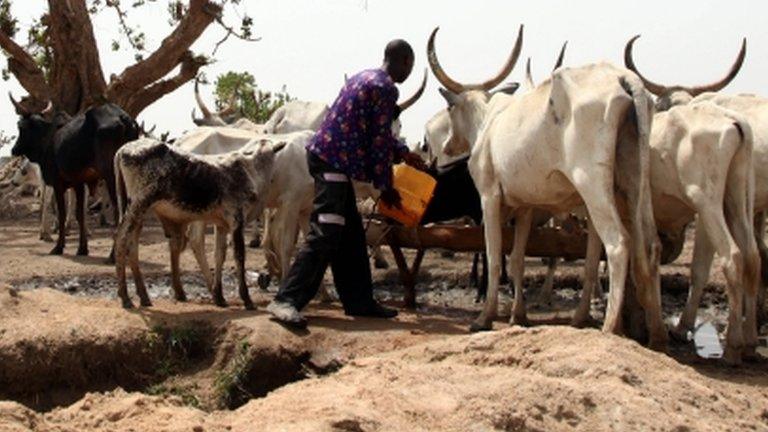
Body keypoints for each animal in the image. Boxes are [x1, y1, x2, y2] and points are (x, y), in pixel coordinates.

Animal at [9, 96, 139, 260]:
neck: (48, 139)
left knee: (118, 210)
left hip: (111, 176)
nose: (14, 149)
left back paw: (112, 255)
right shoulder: (79, 182)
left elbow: (62, 212)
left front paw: (58, 247)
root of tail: (124, 118)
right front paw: (82, 248)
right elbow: (79, 214)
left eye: (20, 127)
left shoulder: (58, 183)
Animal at [112, 137, 284, 308]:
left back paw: (144, 296)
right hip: (138, 206)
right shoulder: (236, 220)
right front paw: (247, 299)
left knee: (132, 246)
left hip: (138, 213)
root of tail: (124, 148)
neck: (250, 171)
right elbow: (239, 256)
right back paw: (125, 297)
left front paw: (219, 297)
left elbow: (219, 255)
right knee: (121, 240)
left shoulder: (221, 225)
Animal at [426, 25, 664, 350]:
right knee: (648, 245)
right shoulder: (526, 206)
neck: (488, 122)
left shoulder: (489, 197)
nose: (448, 146)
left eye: (450, 108)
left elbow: (494, 256)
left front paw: (485, 317)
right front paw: (519, 315)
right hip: (634, 181)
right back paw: (655, 336)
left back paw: (609, 328)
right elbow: (517, 260)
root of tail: (623, 78)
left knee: (618, 243)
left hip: (592, 184)